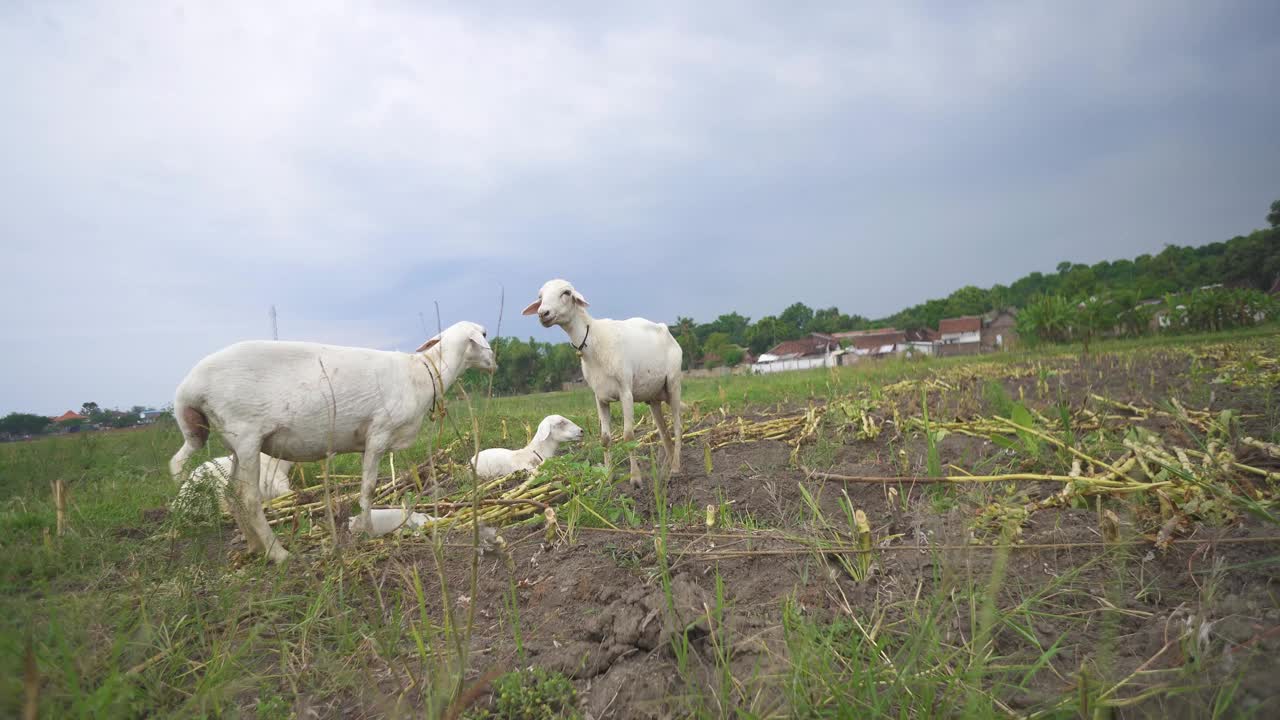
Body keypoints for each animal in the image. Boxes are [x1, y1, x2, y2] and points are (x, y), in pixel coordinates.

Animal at [165, 319, 494, 561]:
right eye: (484, 334)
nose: (494, 363)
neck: (424, 373)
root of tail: (189, 387)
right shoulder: (378, 433)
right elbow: (368, 489)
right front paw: (368, 531)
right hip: (245, 434)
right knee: (247, 497)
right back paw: (278, 554)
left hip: (232, 442)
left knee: (230, 492)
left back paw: (255, 547)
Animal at [522, 278, 686, 484]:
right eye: (540, 297)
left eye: (566, 293)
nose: (543, 314)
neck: (594, 340)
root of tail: (666, 330)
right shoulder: (600, 397)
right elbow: (605, 439)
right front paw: (607, 477)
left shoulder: (626, 392)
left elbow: (628, 436)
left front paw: (635, 479)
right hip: (653, 395)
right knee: (664, 431)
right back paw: (668, 467)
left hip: (673, 383)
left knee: (678, 427)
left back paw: (676, 467)